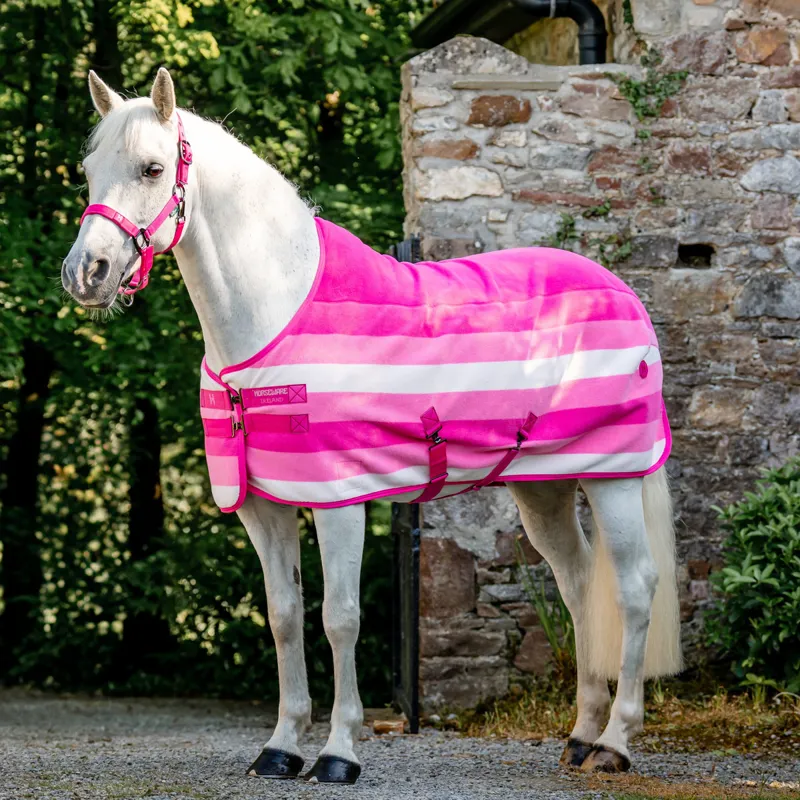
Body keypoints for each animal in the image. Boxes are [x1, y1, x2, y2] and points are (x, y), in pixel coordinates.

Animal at [61, 67, 682, 783]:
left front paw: (338, 752)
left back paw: (614, 742)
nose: (85, 273)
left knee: (633, 589)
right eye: (88, 170)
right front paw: (280, 747)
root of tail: (622, 291)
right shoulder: (264, 507)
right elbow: (283, 616)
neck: (273, 317)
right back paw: (580, 735)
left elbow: (340, 618)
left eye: (152, 168)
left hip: (613, 476)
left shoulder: (340, 501)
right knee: (578, 583)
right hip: (544, 487)